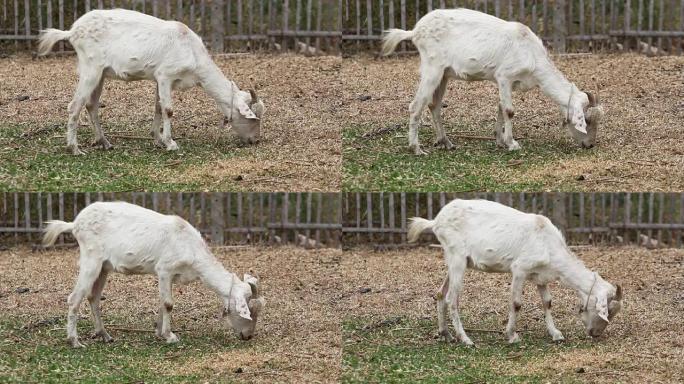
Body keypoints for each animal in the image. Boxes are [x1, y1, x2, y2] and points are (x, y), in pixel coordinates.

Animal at [36, 9, 268, 153]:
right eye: (252, 117)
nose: (255, 140)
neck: (192, 53)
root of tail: (71, 32)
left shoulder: (159, 79)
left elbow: (158, 106)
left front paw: (157, 139)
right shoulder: (166, 75)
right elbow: (168, 109)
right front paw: (171, 143)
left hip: (100, 73)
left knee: (91, 104)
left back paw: (105, 143)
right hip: (90, 68)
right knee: (75, 104)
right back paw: (74, 148)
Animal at [42, 201, 266, 348]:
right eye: (249, 311)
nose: (248, 336)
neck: (191, 250)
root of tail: (74, 224)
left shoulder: (170, 276)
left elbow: (162, 302)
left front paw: (159, 332)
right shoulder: (164, 269)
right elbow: (168, 303)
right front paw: (170, 336)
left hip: (104, 266)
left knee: (93, 297)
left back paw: (105, 335)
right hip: (91, 259)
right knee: (74, 297)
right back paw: (75, 341)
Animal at [382, 8, 600, 154]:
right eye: (587, 120)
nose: (589, 144)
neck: (531, 54)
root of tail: (415, 31)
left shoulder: (507, 83)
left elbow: (501, 107)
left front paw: (500, 140)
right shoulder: (504, 76)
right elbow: (509, 110)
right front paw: (512, 144)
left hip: (443, 74)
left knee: (434, 105)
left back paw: (446, 143)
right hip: (432, 68)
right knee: (416, 105)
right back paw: (416, 148)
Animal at [408, 200, 624, 346]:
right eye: (608, 311)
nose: (595, 333)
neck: (549, 245)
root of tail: (435, 221)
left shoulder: (540, 276)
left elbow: (547, 302)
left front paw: (556, 334)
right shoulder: (520, 269)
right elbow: (516, 303)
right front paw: (512, 335)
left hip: (455, 260)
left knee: (440, 293)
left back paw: (446, 334)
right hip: (457, 257)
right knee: (452, 298)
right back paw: (466, 339)